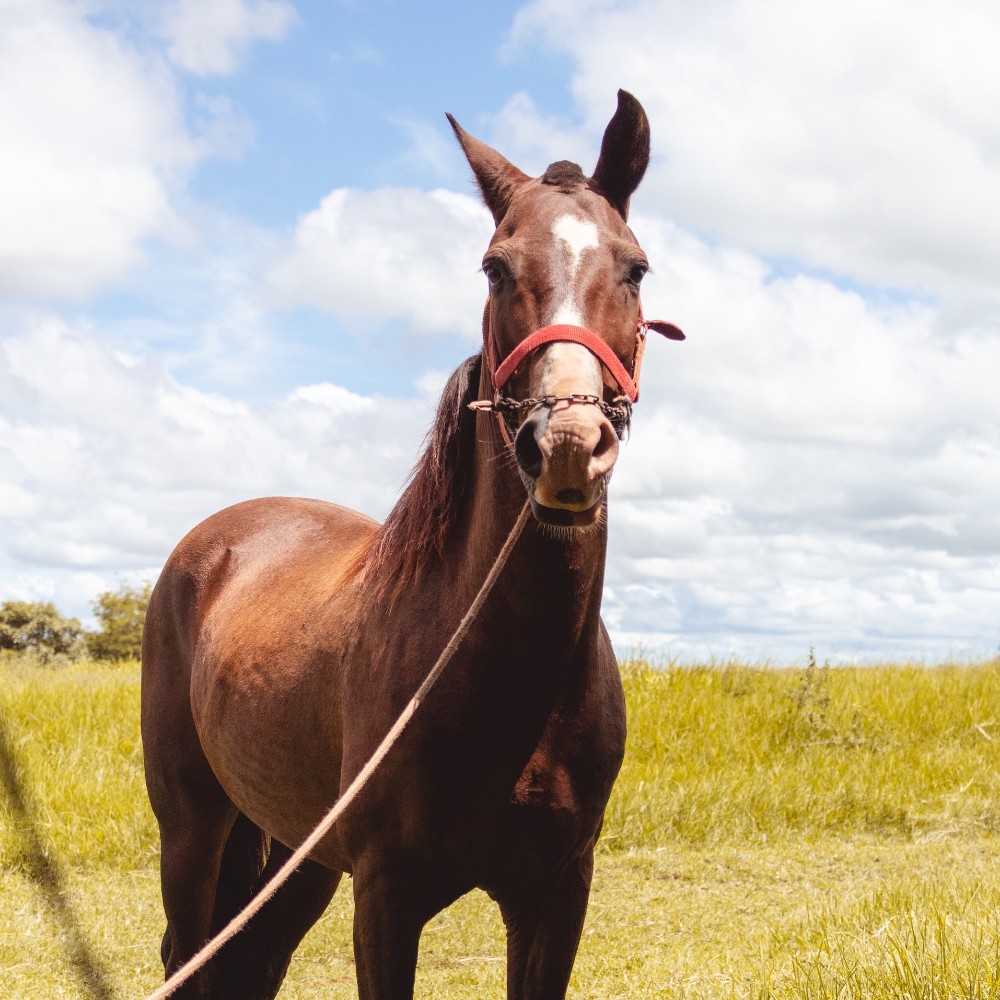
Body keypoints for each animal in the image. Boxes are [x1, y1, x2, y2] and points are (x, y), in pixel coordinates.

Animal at [143, 90, 680, 996]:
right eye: (495, 268)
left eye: (634, 267)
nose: (567, 445)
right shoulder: (387, 896)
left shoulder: (556, 894)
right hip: (192, 828)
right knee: (190, 954)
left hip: (299, 854)